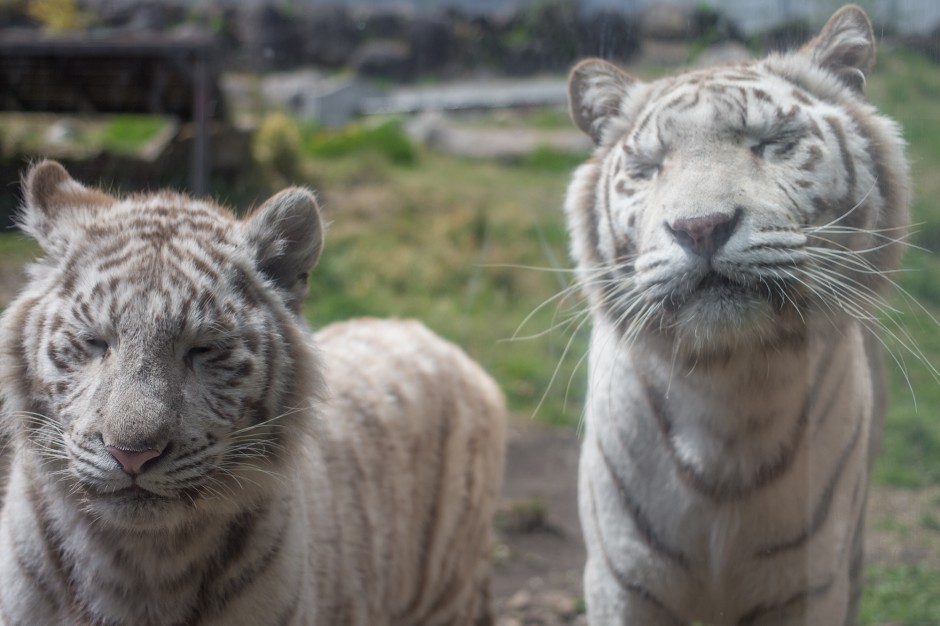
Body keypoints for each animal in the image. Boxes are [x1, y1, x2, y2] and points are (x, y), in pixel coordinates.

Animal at [564, 6, 912, 624]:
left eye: (773, 143)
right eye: (650, 167)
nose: (700, 227)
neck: (730, 390)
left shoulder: (810, 584)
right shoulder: (620, 581)